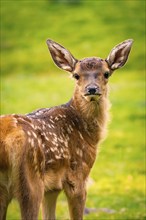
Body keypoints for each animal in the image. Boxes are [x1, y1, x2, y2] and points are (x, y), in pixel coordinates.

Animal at [0, 38, 132, 219]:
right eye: (76, 75)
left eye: (106, 73)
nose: (92, 89)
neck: (88, 134)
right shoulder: (78, 177)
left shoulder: (52, 188)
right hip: (30, 182)